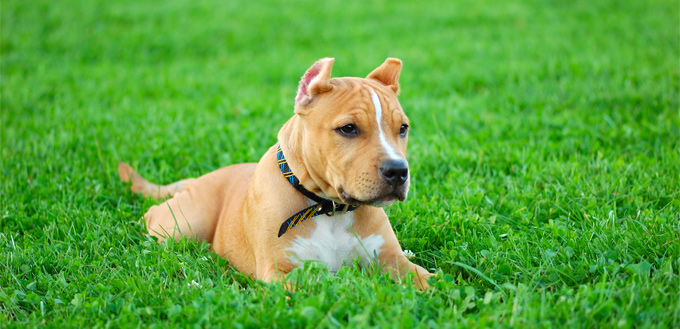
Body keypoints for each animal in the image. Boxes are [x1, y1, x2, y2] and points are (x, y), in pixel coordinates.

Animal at [119, 57, 432, 288]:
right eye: (348, 128)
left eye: (403, 128)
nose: (398, 171)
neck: (328, 208)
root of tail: (196, 180)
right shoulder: (279, 271)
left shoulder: (393, 260)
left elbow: (430, 280)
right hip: (183, 225)